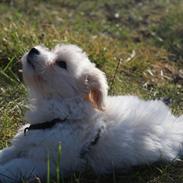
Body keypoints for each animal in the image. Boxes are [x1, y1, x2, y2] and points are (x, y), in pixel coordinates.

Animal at [0, 44, 183, 182]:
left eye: (61, 63)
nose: (33, 50)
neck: (62, 117)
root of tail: (174, 124)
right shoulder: (23, 144)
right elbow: (5, 154)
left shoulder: (47, 162)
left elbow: (12, 168)